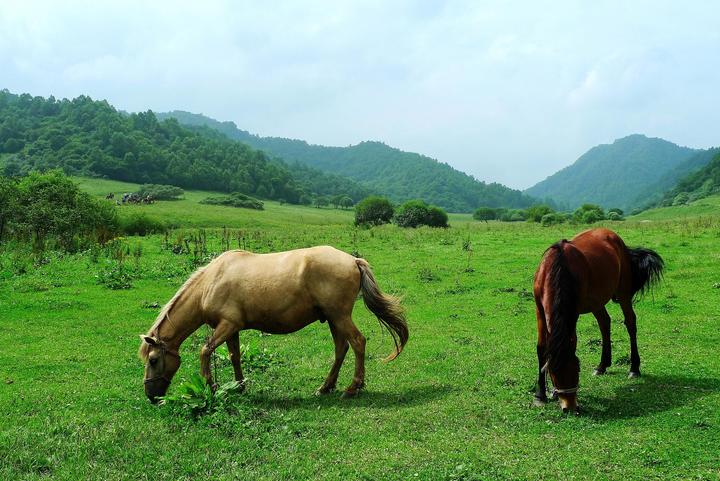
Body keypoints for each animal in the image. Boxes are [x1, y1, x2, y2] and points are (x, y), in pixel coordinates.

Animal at [138, 248, 408, 402]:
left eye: (153, 360)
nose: (151, 395)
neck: (210, 283)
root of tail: (353, 260)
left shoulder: (227, 325)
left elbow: (205, 351)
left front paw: (210, 386)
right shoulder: (232, 329)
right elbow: (235, 356)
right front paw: (239, 386)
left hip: (339, 316)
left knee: (358, 343)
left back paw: (353, 388)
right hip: (333, 318)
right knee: (341, 349)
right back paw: (326, 387)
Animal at [532, 229, 660, 412]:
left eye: (577, 370)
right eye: (553, 373)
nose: (570, 407)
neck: (558, 267)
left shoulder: (573, 311)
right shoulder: (539, 309)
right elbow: (541, 348)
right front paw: (540, 395)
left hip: (623, 293)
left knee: (630, 322)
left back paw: (634, 368)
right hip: (596, 301)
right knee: (604, 323)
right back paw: (602, 365)